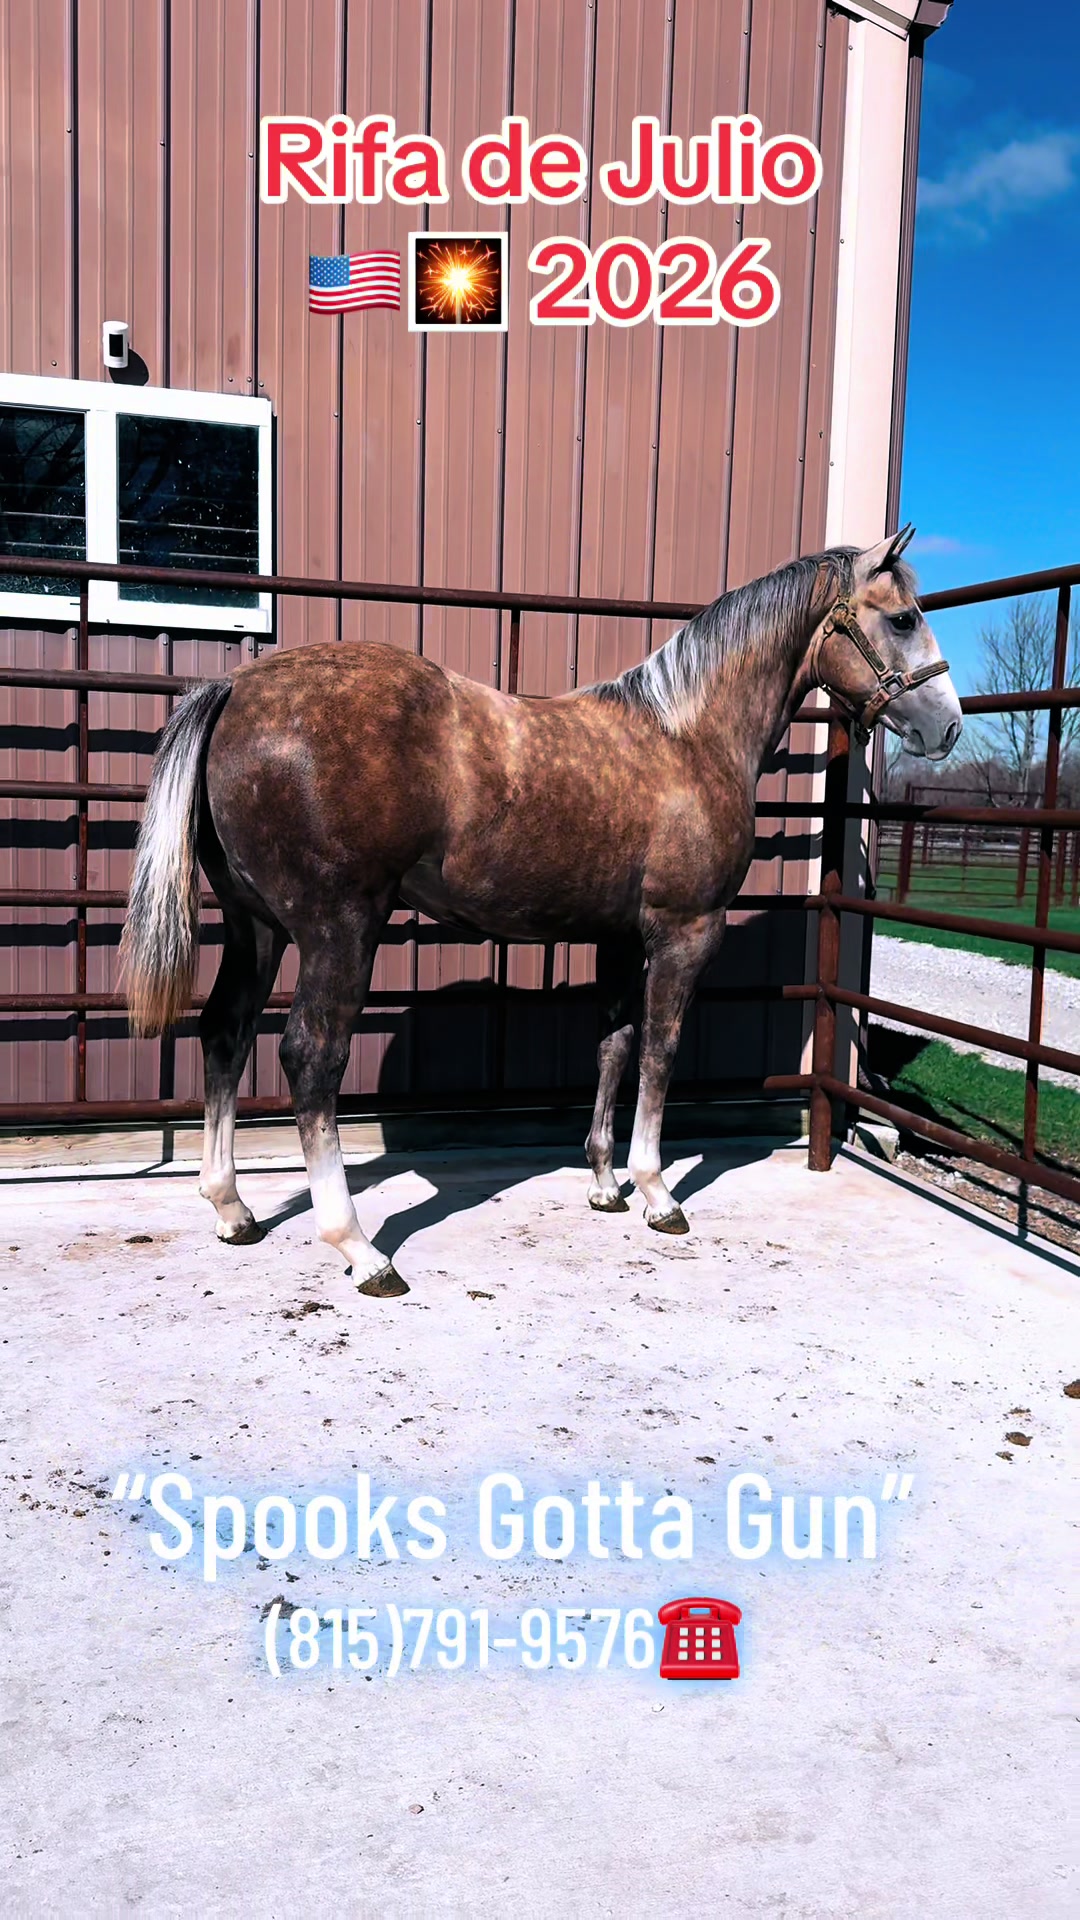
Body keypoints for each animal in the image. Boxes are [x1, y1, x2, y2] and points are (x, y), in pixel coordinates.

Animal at [119, 527, 961, 1297]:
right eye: (902, 617)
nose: (947, 727)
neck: (688, 735)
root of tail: (237, 690)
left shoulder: (620, 938)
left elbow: (614, 1047)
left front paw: (604, 1184)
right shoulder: (685, 932)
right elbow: (661, 1050)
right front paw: (656, 1193)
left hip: (256, 928)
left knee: (225, 1032)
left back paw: (231, 1209)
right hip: (339, 930)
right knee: (309, 1058)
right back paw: (360, 1249)